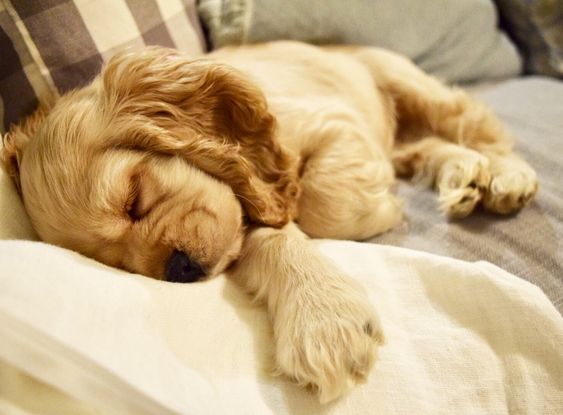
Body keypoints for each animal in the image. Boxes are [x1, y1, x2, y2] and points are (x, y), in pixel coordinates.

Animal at [0, 41, 536, 404]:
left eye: (136, 197)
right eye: (116, 265)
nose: (179, 270)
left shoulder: (334, 122)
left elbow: (318, 205)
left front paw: (379, 208)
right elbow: (270, 229)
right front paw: (323, 313)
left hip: (405, 80)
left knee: (473, 127)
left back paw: (503, 175)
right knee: (423, 147)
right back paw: (462, 173)